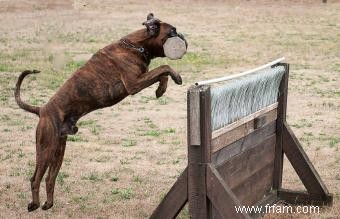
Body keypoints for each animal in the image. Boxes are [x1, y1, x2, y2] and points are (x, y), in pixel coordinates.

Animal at [14, 12, 187, 211]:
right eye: (172, 31)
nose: (182, 35)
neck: (137, 46)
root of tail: (42, 110)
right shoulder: (134, 84)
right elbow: (164, 68)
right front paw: (175, 77)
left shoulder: (141, 79)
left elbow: (162, 74)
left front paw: (161, 90)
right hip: (46, 148)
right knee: (35, 178)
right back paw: (33, 204)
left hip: (59, 150)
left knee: (50, 178)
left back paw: (48, 204)